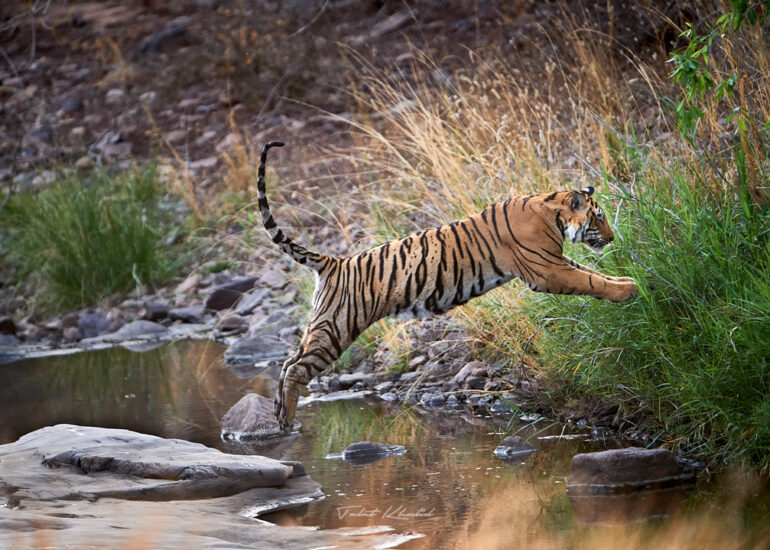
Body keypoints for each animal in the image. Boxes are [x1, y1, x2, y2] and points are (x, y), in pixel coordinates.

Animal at [257, 141, 638, 431]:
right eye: (600, 218)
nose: (612, 237)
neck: (551, 210)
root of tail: (333, 262)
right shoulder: (547, 269)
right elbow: (588, 278)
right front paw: (628, 291)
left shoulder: (554, 262)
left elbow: (591, 273)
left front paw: (626, 280)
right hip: (337, 326)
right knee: (296, 367)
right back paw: (286, 420)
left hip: (321, 322)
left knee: (288, 362)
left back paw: (278, 412)